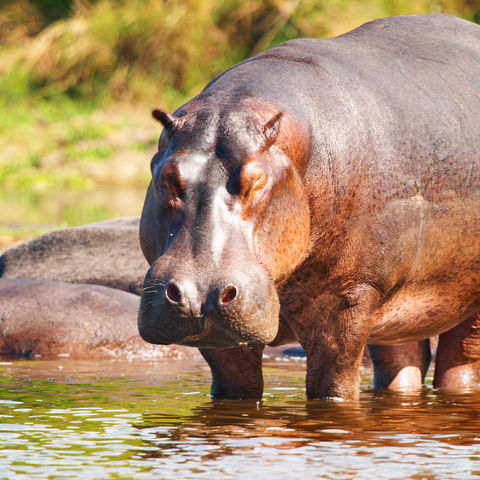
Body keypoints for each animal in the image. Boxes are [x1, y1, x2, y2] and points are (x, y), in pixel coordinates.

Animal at [136, 13, 480, 400]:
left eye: (257, 180)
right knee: (402, 361)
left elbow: (331, 386)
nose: (198, 295)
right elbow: (236, 386)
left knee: (460, 361)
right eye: (168, 176)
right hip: (395, 309)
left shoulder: (351, 295)